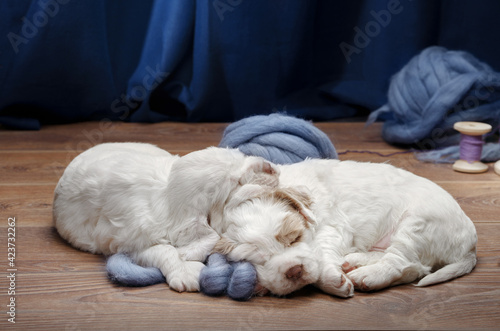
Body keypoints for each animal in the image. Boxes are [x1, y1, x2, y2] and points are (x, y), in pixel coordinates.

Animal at [54, 143, 282, 294]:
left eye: (241, 156)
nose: (272, 168)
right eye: (236, 182)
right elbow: (165, 249)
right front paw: (187, 272)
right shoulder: (131, 242)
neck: (166, 192)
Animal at [218, 158, 476, 298]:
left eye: (294, 238)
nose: (294, 270)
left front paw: (332, 279)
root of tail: (470, 246)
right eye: (253, 261)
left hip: (418, 223)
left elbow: (320, 254)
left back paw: (367, 275)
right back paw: (354, 261)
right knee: (411, 265)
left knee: (405, 264)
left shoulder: (331, 226)